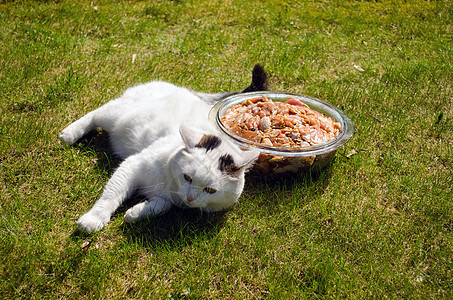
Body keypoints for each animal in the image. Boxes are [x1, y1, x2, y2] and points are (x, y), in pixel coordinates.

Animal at [58, 64, 266, 233]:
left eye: (210, 190)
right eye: (187, 177)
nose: (190, 198)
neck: (169, 185)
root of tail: (184, 89)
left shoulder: (169, 200)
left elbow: (162, 206)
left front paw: (135, 213)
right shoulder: (132, 165)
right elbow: (111, 195)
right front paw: (93, 219)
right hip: (114, 116)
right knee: (95, 114)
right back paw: (68, 134)